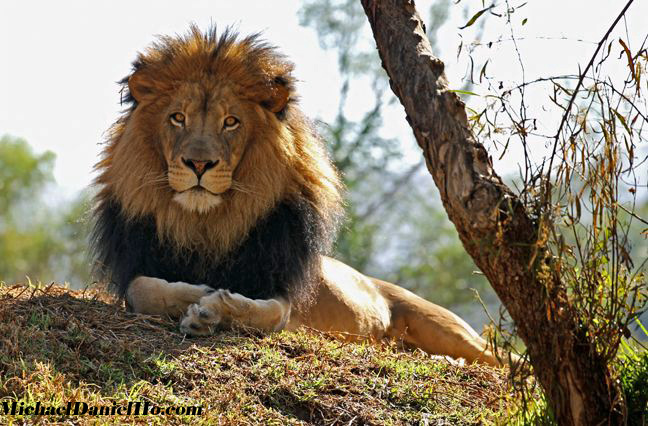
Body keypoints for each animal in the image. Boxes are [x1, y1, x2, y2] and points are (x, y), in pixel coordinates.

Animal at [90, 26, 506, 366]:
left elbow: (268, 313)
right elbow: (142, 289)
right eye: (178, 118)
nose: (199, 164)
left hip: (444, 328)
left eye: (231, 122)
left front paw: (211, 310)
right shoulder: (135, 267)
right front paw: (197, 297)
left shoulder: (281, 290)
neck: (206, 224)